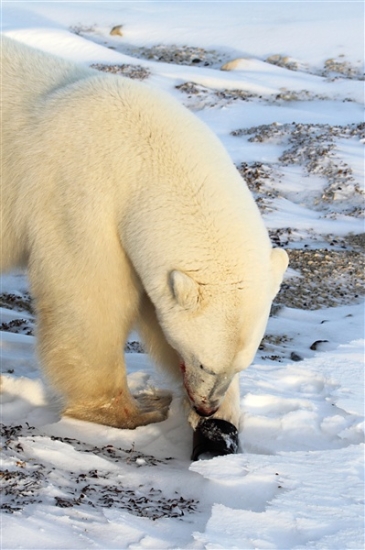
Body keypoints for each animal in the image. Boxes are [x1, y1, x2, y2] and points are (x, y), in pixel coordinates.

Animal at [2, 36, 288, 454]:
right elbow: (91, 301)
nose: (206, 405)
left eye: (240, 365)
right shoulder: (81, 197)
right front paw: (136, 410)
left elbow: (156, 311)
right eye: (204, 363)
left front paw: (222, 421)